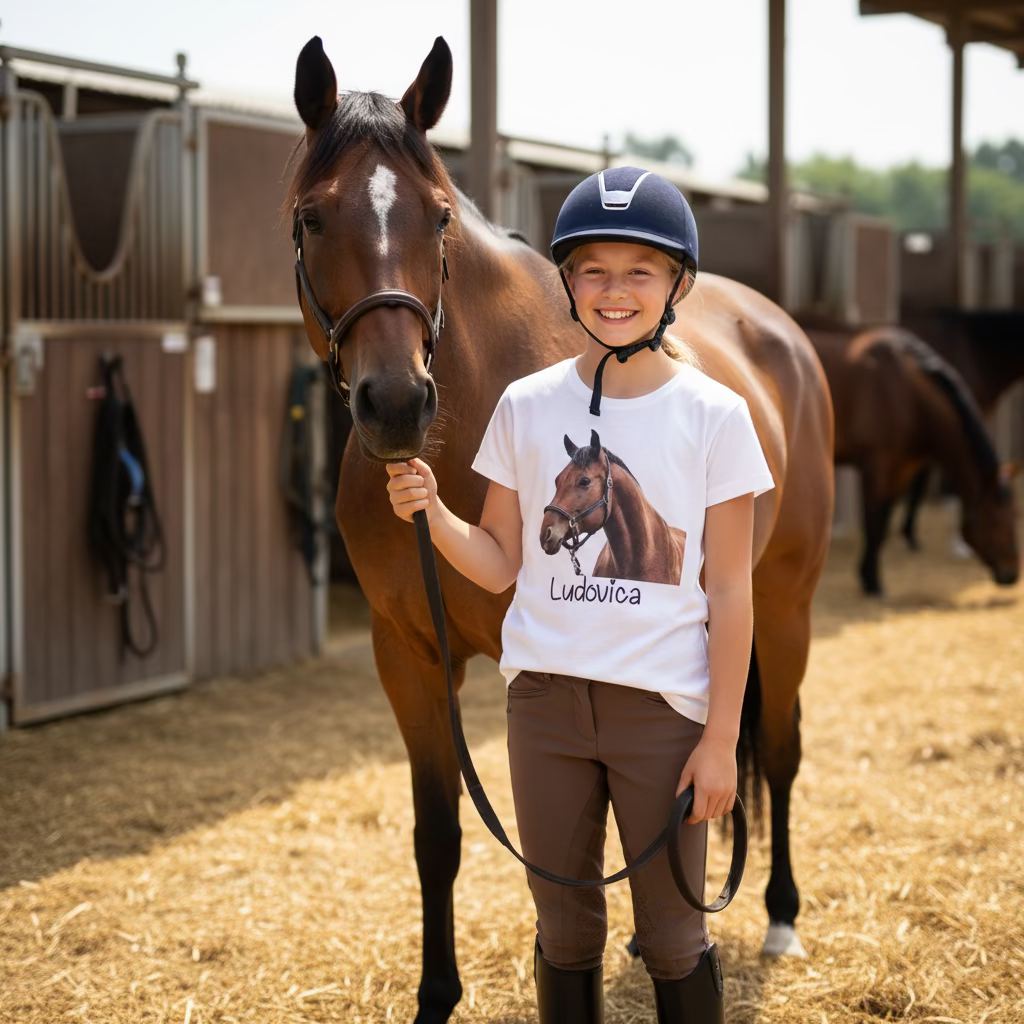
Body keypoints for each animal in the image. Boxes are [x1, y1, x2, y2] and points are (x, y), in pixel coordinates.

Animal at [807, 326, 1019, 595]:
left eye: (1016, 514)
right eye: (993, 517)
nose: (1012, 573)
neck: (907, 395)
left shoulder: (902, 471)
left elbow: (884, 524)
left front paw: (868, 575)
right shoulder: (876, 468)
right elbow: (874, 526)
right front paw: (873, 583)